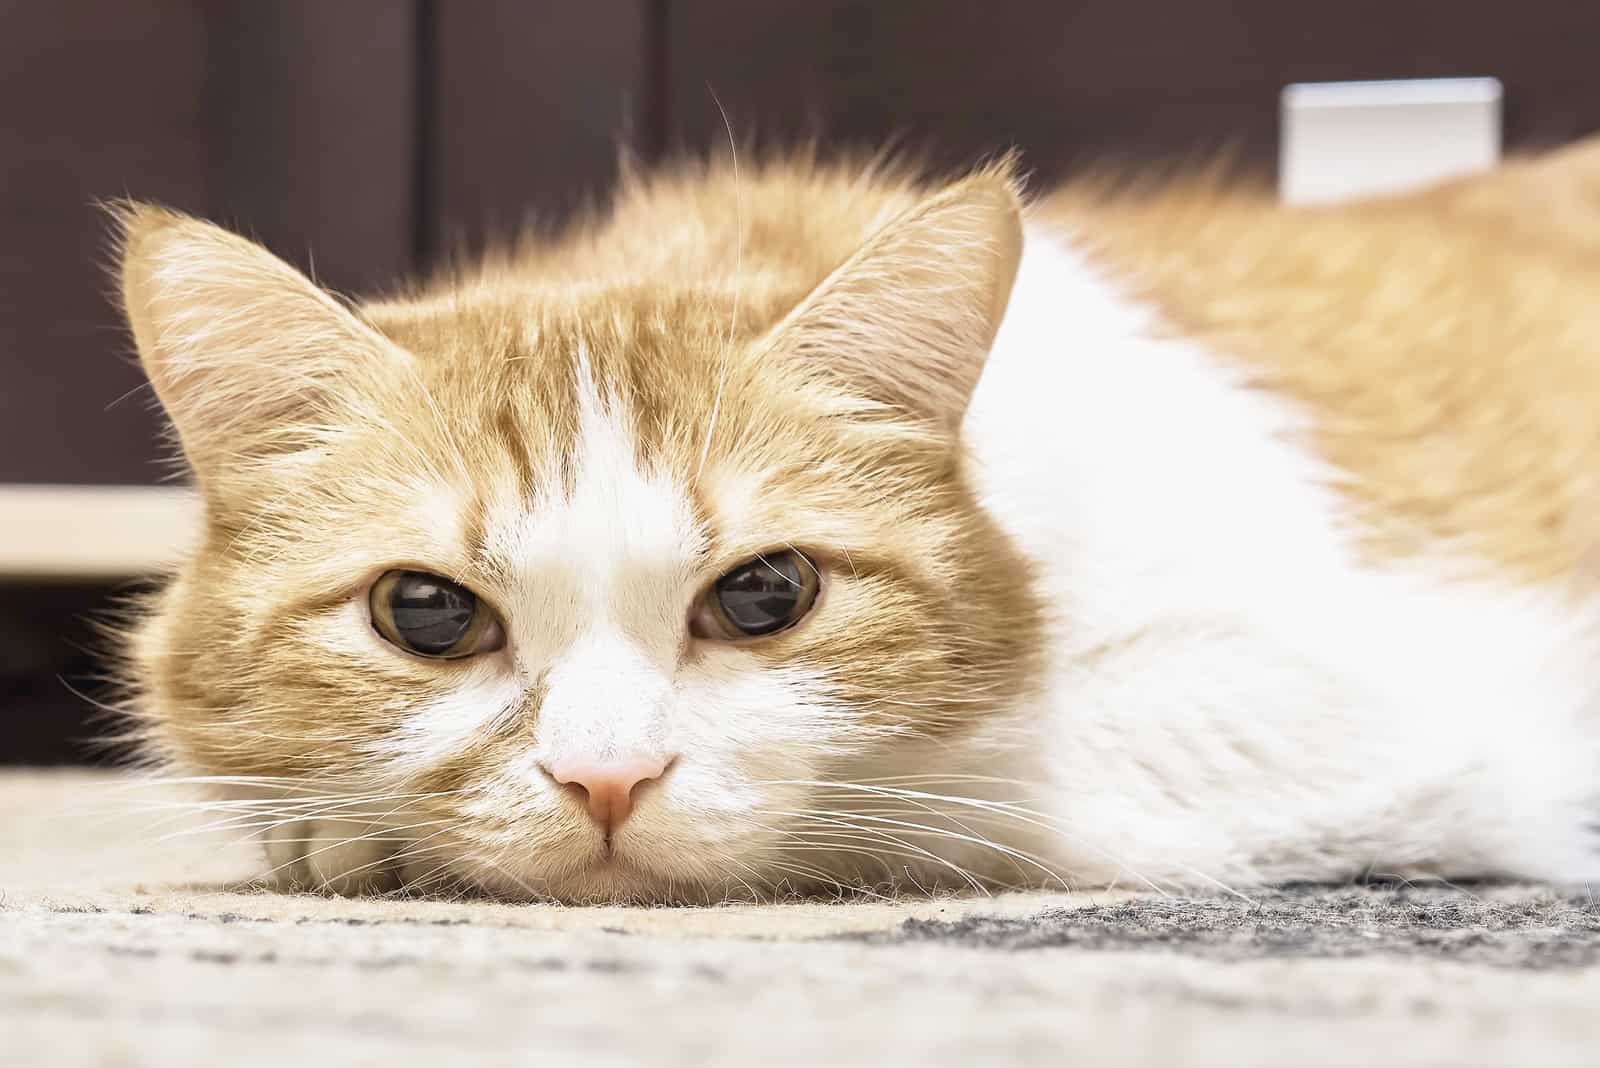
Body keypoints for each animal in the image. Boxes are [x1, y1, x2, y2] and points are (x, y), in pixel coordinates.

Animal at [116, 139, 1600, 901]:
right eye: (424, 612)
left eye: (765, 596)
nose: (606, 781)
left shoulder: (1340, 704)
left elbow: (935, 793)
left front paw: (359, 839)